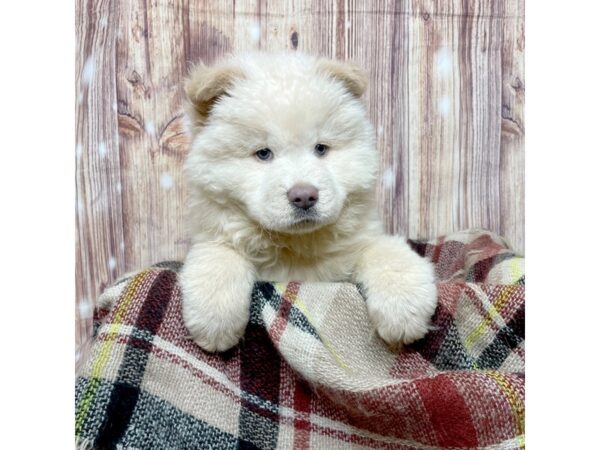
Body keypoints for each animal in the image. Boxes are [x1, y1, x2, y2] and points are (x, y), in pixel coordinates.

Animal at [178, 52, 436, 354]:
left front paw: (405, 313)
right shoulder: (215, 234)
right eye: (263, 154)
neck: (295, 246)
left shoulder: (360, 242)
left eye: (321, 149)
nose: (304, 196)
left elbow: (386, 254)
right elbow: (218, 258)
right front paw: (216, 325)